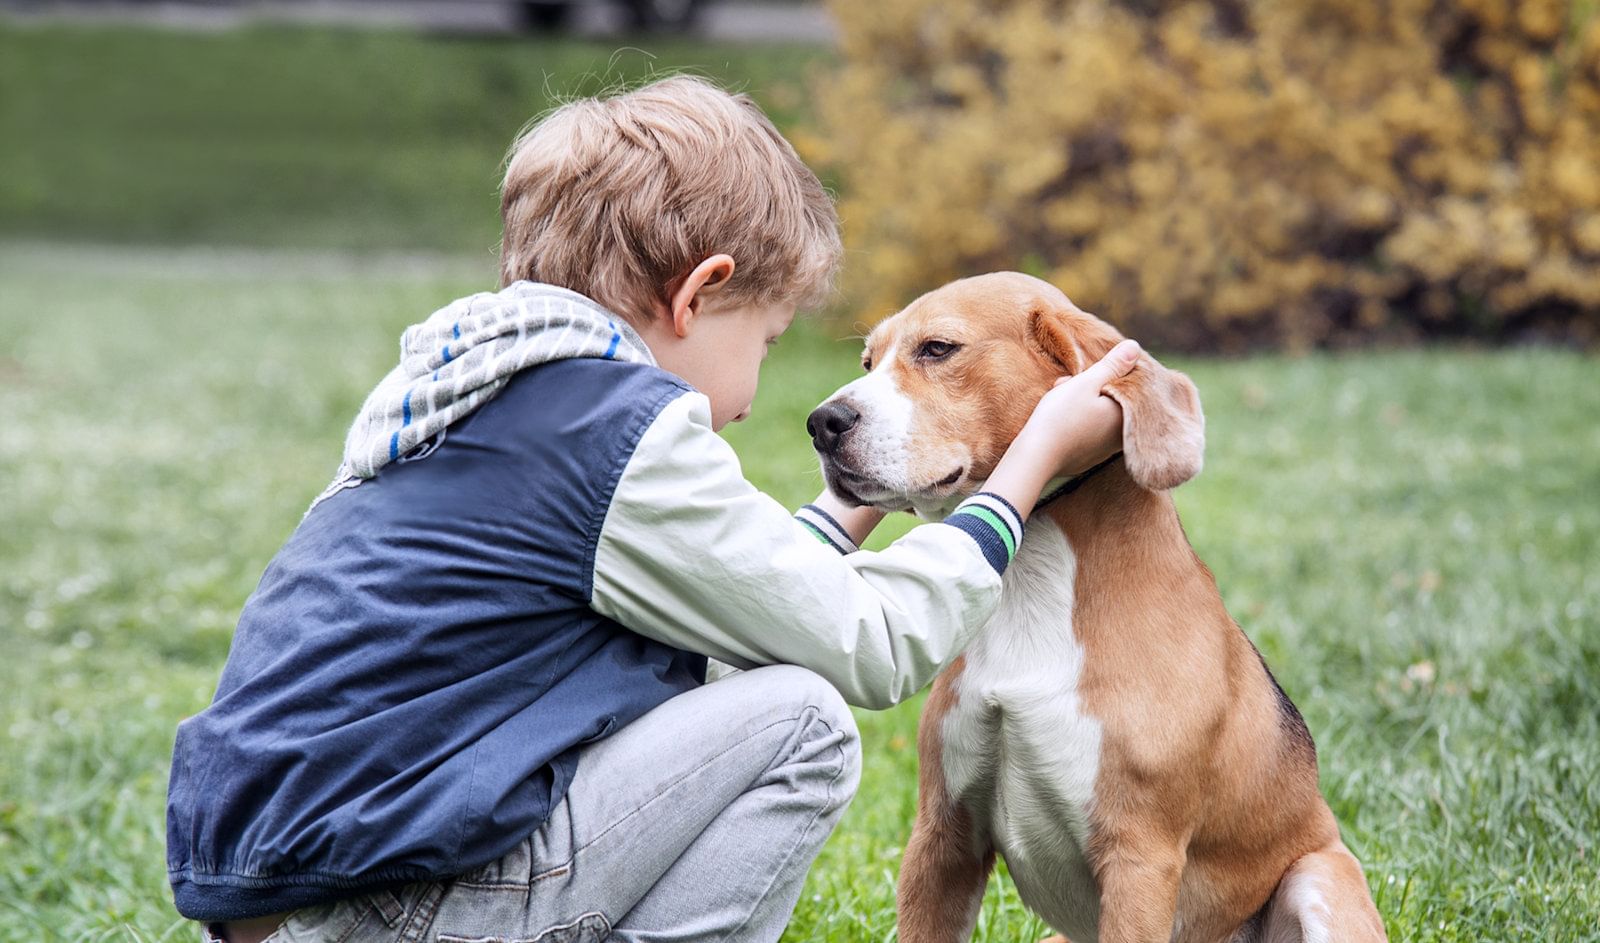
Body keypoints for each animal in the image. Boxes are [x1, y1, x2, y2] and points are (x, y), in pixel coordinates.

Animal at [806, 272, 1382, 941]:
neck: (1030, 581)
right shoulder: (940, 839)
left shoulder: (1140, 860)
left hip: (1318, 879)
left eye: (938, 349)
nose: (822, 422)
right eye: (868, 363)